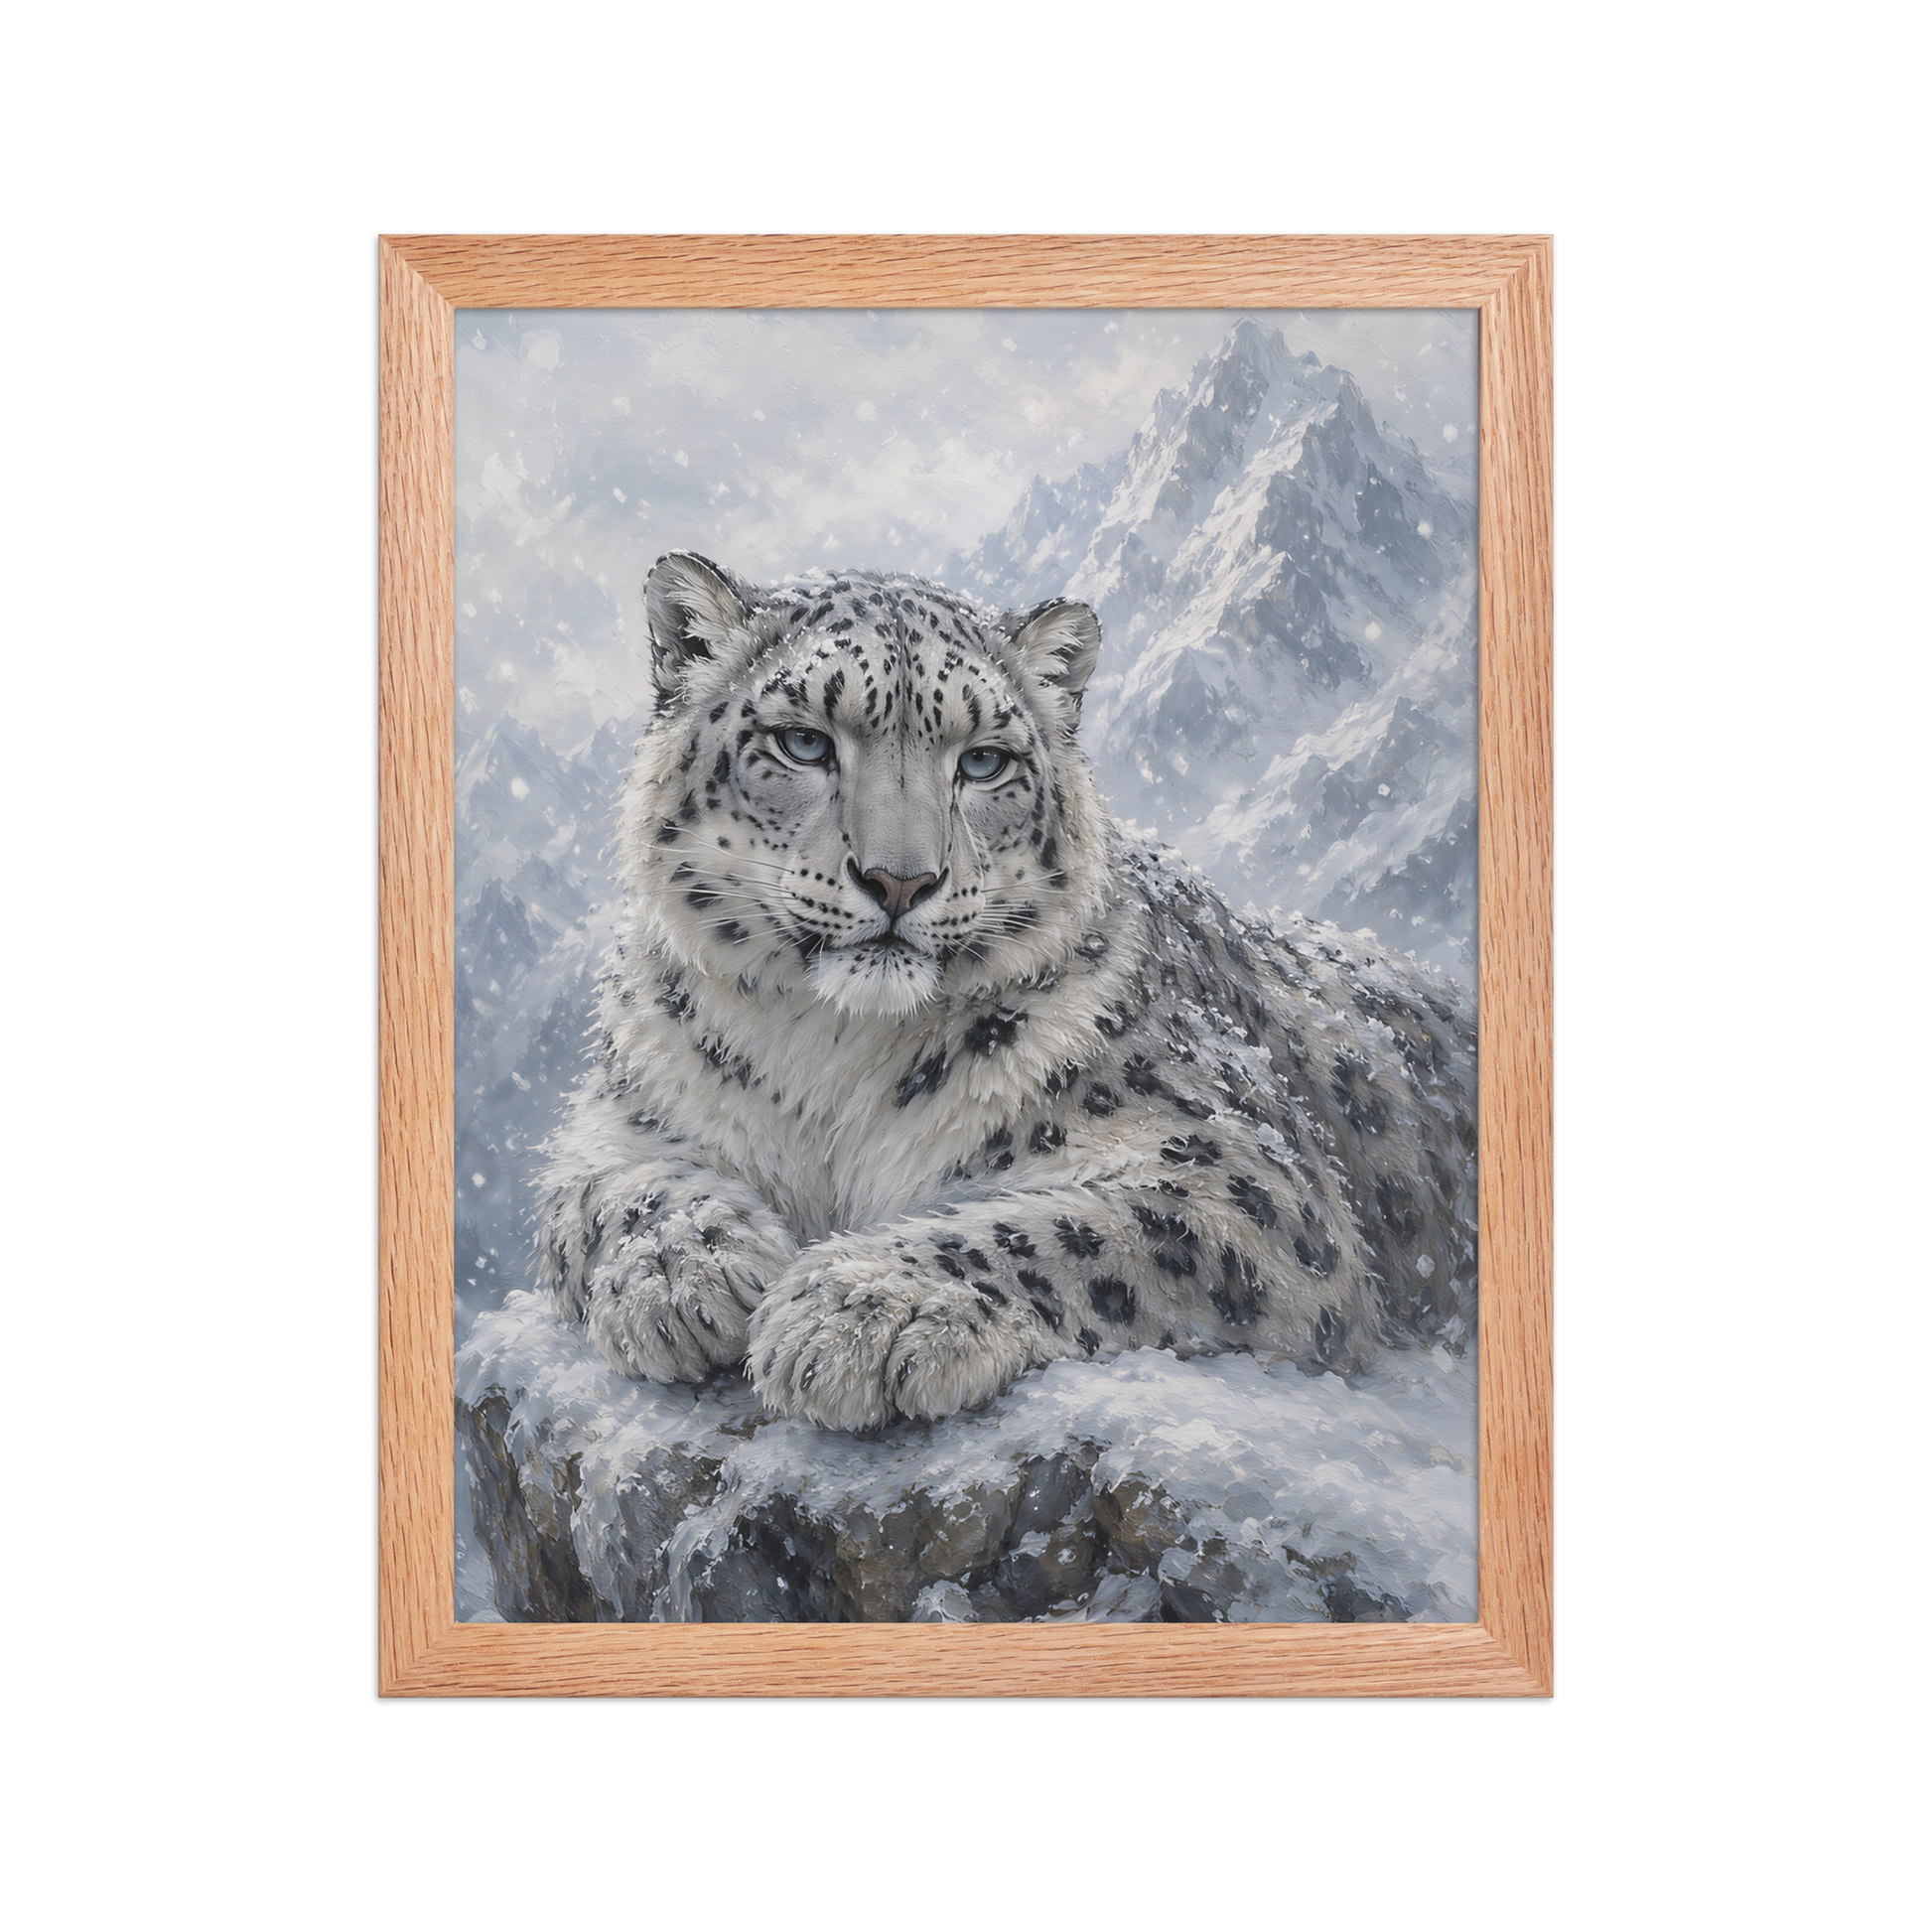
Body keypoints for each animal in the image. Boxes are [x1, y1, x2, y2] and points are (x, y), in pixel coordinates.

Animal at [533, 550, 1477, 1432]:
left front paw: (859, 1310)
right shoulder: (623, 1118)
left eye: (984, 762)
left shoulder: (1243, 1180)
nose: (901, 880)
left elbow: (1064, 1229)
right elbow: (608, 1192)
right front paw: (684, 1274)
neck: (827, 1057)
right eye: (803, 741)